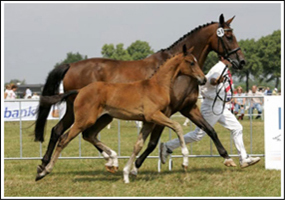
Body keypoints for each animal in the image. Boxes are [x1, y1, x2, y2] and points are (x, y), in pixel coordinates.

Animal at [37, 46, 206, 184]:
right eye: (191, 62)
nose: (203, 79)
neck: (157, 85)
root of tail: (80, 91)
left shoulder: (148, 121)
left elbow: (138, 145)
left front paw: (126, 173)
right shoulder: (154, 116)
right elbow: (177, 126)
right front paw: (185, 160)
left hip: (104, 118)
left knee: (89, 135)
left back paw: (112, 159)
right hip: (83, 120)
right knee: (64, 139)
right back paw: (44, 172)